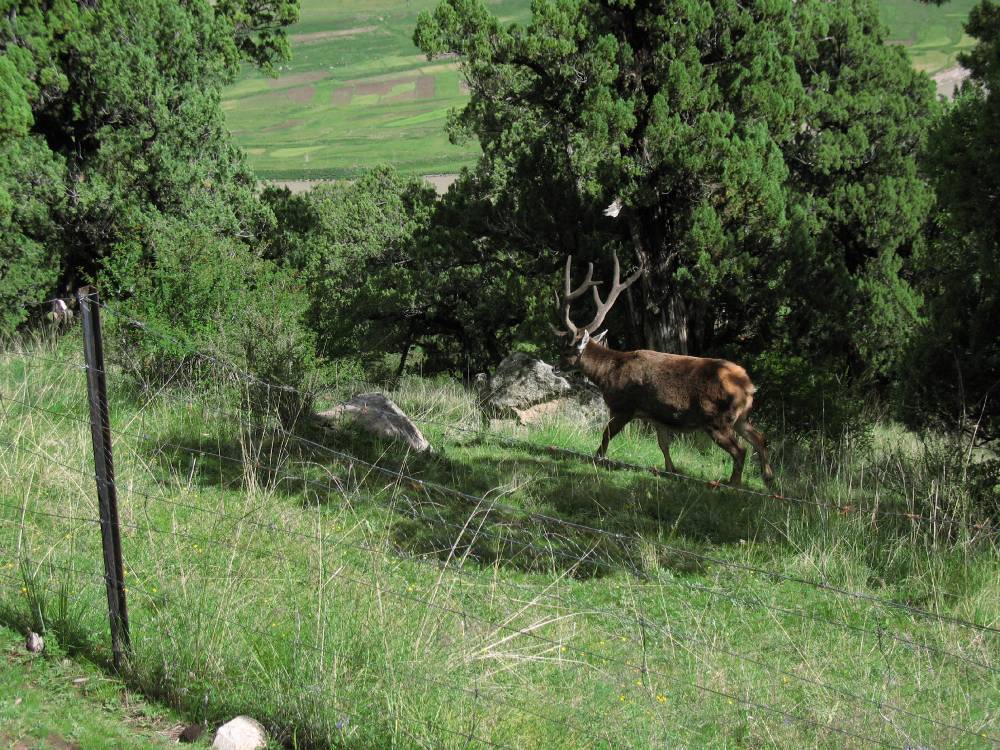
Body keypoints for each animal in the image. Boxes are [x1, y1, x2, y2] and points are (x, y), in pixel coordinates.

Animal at [552, 253, 776, 488]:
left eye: (566, 351)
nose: (555, 368)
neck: (609, 374)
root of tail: (748, 386)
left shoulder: (624, 406)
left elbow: (606, 436)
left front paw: (598, 459)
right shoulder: (656, 416)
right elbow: (663, 444)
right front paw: (671, 470)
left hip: (717, 420)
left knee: (740, 450)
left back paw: (733, 483)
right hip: (741, 417)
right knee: (760, 439)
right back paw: (768, 479)